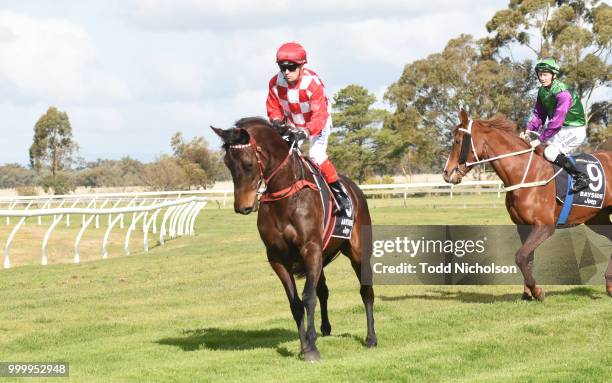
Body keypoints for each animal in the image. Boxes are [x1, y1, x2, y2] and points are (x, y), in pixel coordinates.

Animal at [210, 118, 376, 364]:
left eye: (248, 164)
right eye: (227, 163)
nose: (242, 206)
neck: (285, 193)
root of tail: (355, 189)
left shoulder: (311, 249)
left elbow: (308, 297)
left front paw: (312, 348)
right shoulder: (278, 258)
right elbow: (296, 302)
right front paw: (305, 345)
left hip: (357, 251)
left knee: (366, 291)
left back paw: (371, 338)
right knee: (323, 290)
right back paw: (326, 328)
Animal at [444, 109, 612, 302]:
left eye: (457, 141)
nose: (447, 173)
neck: (525, 172)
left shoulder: (545, 226)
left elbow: (520, 256)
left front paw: (536, 290)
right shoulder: (524, 226)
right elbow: (527, 259)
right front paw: (527, 293)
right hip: (597, 218)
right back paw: (609, 284)